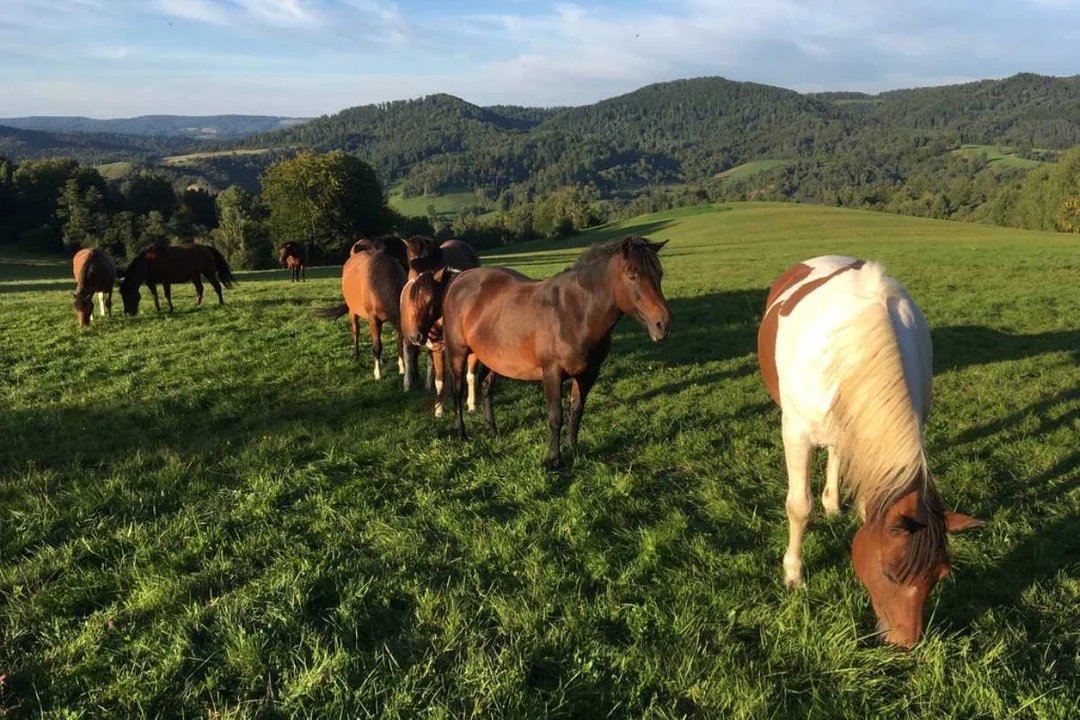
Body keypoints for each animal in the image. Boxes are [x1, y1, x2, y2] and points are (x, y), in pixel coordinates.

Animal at [315, 237, 416, 388]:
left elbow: (397, 343)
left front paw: (402, 368)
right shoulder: (373, 319)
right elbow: (377, 347)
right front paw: (378, 374)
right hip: (353, 312)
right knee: (356, 332)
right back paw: (357, 356)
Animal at [438, 236, 665, 470]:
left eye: (659, 274)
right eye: (633, 276)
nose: (663, 325)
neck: (575, 313)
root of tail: (460, 278)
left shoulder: (588, 374)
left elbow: (576, 410)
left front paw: (572, 447)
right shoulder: (552, 374)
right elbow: (556, 417)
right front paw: (554, 460)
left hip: (494, 358)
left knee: (486, 387)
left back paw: (491, 430)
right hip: (458, 352)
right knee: (457, 391)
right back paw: (461, 433)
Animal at [756, 257, 984, 647]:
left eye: (939, 576)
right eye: (889, 574)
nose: (905, 644)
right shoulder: (796, 434)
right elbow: (799, 508)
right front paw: (793, 574)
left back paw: (833, 503)